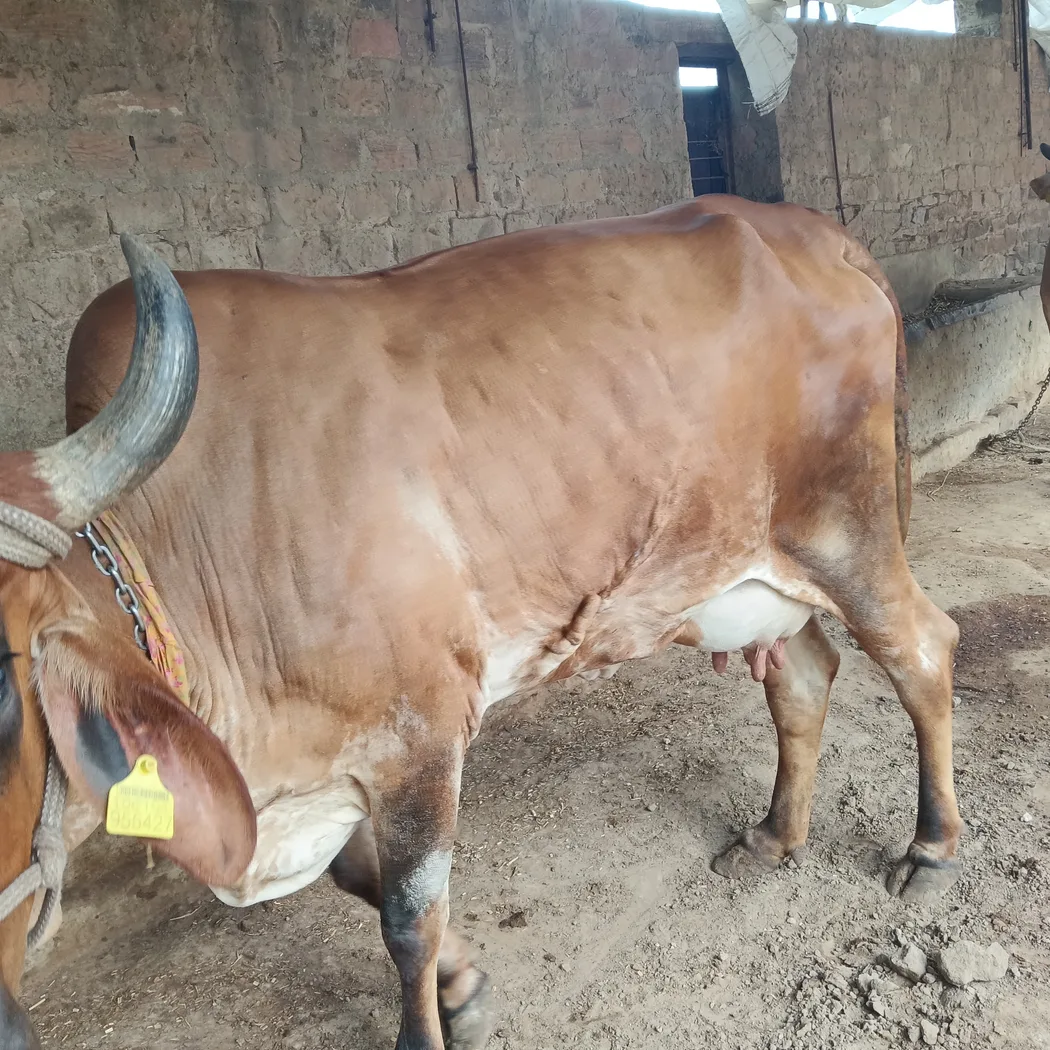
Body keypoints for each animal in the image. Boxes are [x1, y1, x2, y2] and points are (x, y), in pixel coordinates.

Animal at [0, 195, 963, 1050]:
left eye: (6, 701)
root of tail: (811, 230)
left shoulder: (420, 730)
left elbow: (407, 915)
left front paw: (428, 1025)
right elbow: (362, 879)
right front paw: (462, 991)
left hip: (848, 532)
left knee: (923, 650)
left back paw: (932, 848)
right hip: (748, 571)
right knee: (803, 674)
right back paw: (774, 836)